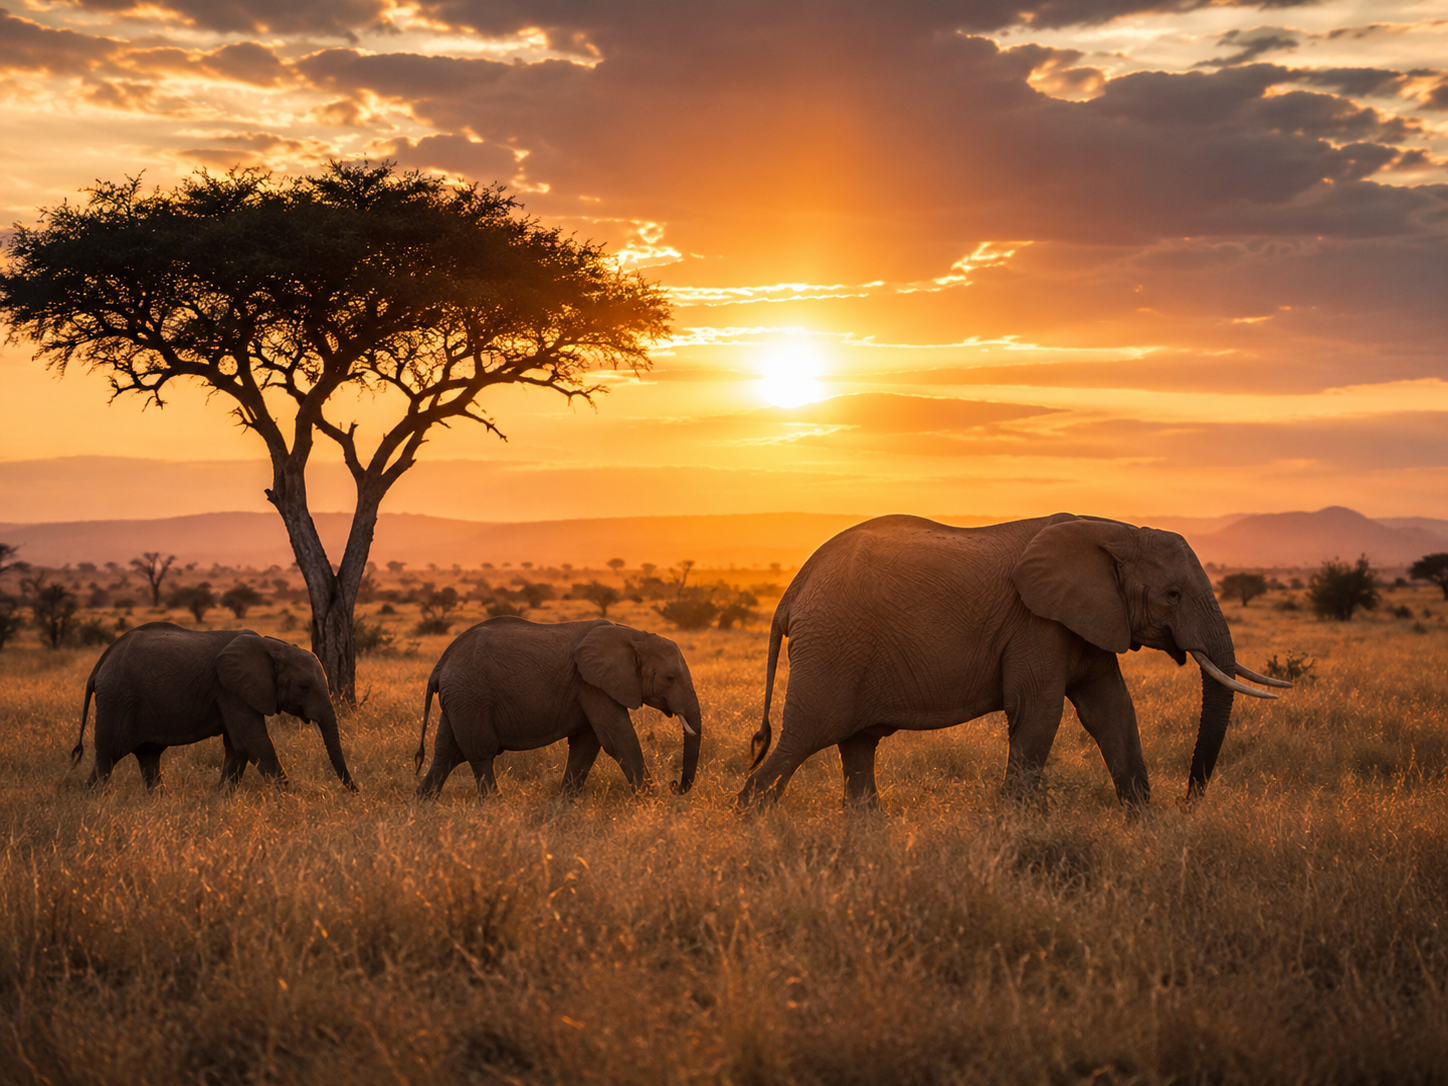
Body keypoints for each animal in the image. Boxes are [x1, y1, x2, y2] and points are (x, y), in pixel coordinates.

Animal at [73, 621, 356, 793]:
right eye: (304, 687)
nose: (356, 793)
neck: (274, 646)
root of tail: (100, 664)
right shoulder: (231, 690)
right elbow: (254, 742)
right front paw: (290, 798)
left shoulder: (233, 692)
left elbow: (237, 747)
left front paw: (222, 800)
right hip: (117, 699)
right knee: (107, 757)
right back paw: (95, 801)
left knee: (148, 757)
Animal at [414, 617, 703, 799]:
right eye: (669, 678)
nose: (674, 785)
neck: (634, 635)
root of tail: (441, 664)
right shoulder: (592, 684)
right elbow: (618, 740)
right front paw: (655, 805)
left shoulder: (589, 686)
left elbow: (587, 745)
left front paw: (564, 808)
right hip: (470, 696)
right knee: (479, 753)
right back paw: (495, 808)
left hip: (459, 700)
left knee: (446, 754)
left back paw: (422, 809)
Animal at [737, 514, 1289, 809]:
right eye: (1172, 595)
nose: (1189, 803)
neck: (1115, 530)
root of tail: (792, 592)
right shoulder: (1036, 624)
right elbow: (1038, 715)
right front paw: (1011, 838)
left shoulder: (1088, 621)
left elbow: (1113, 713)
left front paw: (1150, 838)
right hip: (831, 651)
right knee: (803, 739)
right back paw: (752, 833)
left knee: (857, 747)